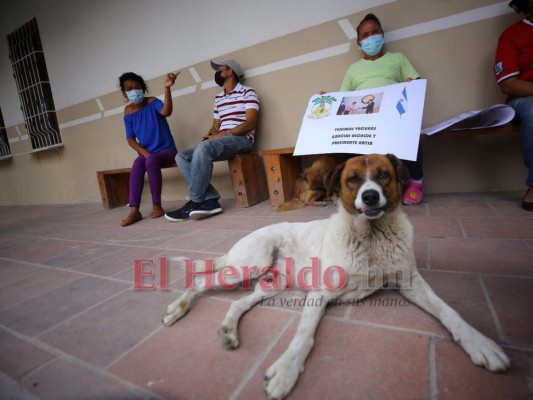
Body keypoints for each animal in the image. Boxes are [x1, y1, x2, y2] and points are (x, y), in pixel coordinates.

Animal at [163, 154, 512, 400]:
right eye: (352, 180)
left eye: (383, 175)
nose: (370, 197)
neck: (371, 237)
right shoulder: (320, 293)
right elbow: (304, 335)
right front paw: (287, 369)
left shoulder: (411, 283)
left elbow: (449, 312)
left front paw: (479, 343)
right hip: (249, 264)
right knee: (201, 282)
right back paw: (177, 310)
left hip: (270, 285)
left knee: (237, 304)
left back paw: (228, 331)